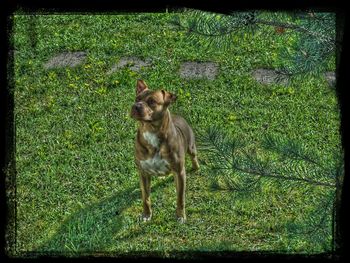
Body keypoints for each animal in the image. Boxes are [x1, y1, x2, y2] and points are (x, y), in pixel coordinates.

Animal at [131, 79, 200, 224]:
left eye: (152, 101)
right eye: (137, 98)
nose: (136, 106)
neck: (150, 129)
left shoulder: (179, 172)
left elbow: (180, 198)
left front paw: (180, 215)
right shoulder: (143, 172)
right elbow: (145, 198)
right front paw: (146, 214)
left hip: (191, 147)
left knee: (194, 156)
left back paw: (196, 167)